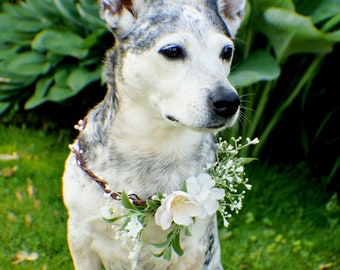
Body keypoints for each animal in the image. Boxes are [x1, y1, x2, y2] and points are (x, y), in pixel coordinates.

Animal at [63, 0, 244, 268]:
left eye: (227, 51)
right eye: (172, 51)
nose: (228, 101)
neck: (153, 148)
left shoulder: (197, 249)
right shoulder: (80, 236)